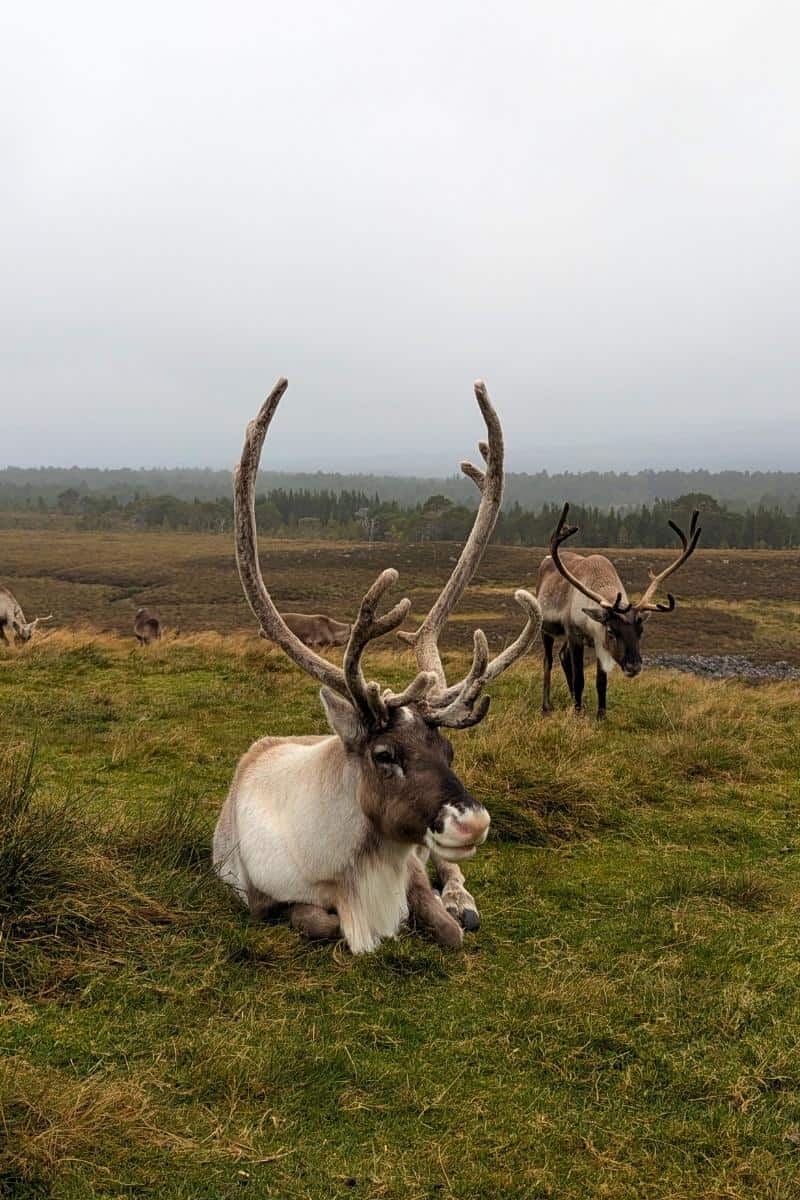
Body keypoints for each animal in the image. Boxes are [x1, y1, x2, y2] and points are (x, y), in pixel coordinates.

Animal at [213, 377, 542, 954]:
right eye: (384, 754)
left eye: (449, 750)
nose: (473, 822)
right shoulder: (260, 899)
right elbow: (317, 922)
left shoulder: (409, 866)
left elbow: (446, 927)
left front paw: (448, 912)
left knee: (449, 871)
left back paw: (463, 897)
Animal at [537, 503, 701, 719]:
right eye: (611, 631)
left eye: (641, 632)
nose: (634, 666)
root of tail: (545, 562)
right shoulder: (575, 635)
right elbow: (579, 678)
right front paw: (578, 714)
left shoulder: (598, 643)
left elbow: (601, 682)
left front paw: (601, 715)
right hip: (546, 628)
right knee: (548, 661)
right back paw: (547, 706)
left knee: (563, 656)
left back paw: (574, 701)